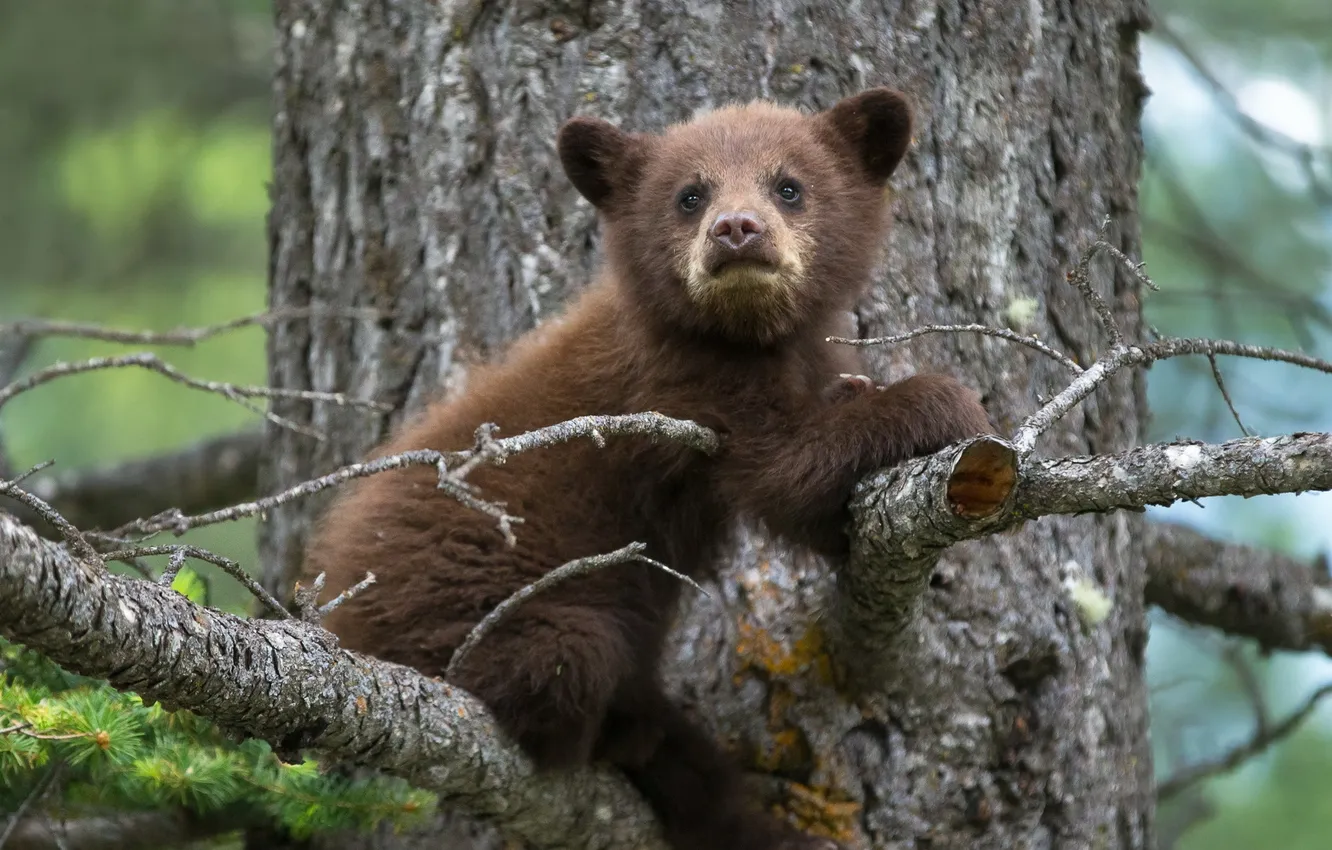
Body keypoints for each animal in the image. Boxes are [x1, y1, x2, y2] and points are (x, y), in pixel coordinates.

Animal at [304, 87, 993, 850]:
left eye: (789, 186)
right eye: (690, 195)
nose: (737, 229)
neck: (748, 336)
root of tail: (341, 613)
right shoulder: (680, 387)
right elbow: (788, 469)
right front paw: (948, 402)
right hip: (462, 607)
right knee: (566, 660)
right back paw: (615, 735)